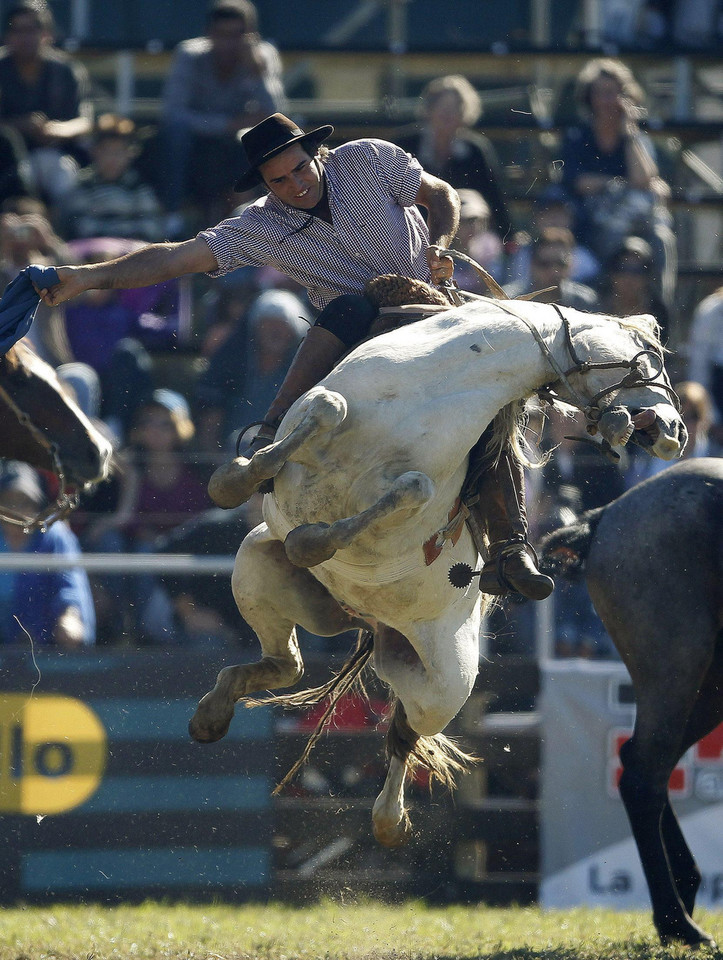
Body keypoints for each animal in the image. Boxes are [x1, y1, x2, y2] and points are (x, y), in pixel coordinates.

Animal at [189, 294, 688, 848]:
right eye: (651, 355)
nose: (674, 433)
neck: (434, 386)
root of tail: (368, 623)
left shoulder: (425, 492)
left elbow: (414, 487)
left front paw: (311, 540)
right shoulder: (320, 406)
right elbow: (327, 408)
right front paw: (234, 481)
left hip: (446, 685)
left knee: (403, 726)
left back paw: (388, 817)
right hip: (259, 570)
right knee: (288, 664)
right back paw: (212, 713)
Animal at [544, 460, 723, 952]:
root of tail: (606, 515)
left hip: (707, 686)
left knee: (640, 762)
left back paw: (686, 890)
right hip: (677, 663)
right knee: (644, 776)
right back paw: (677, 922)